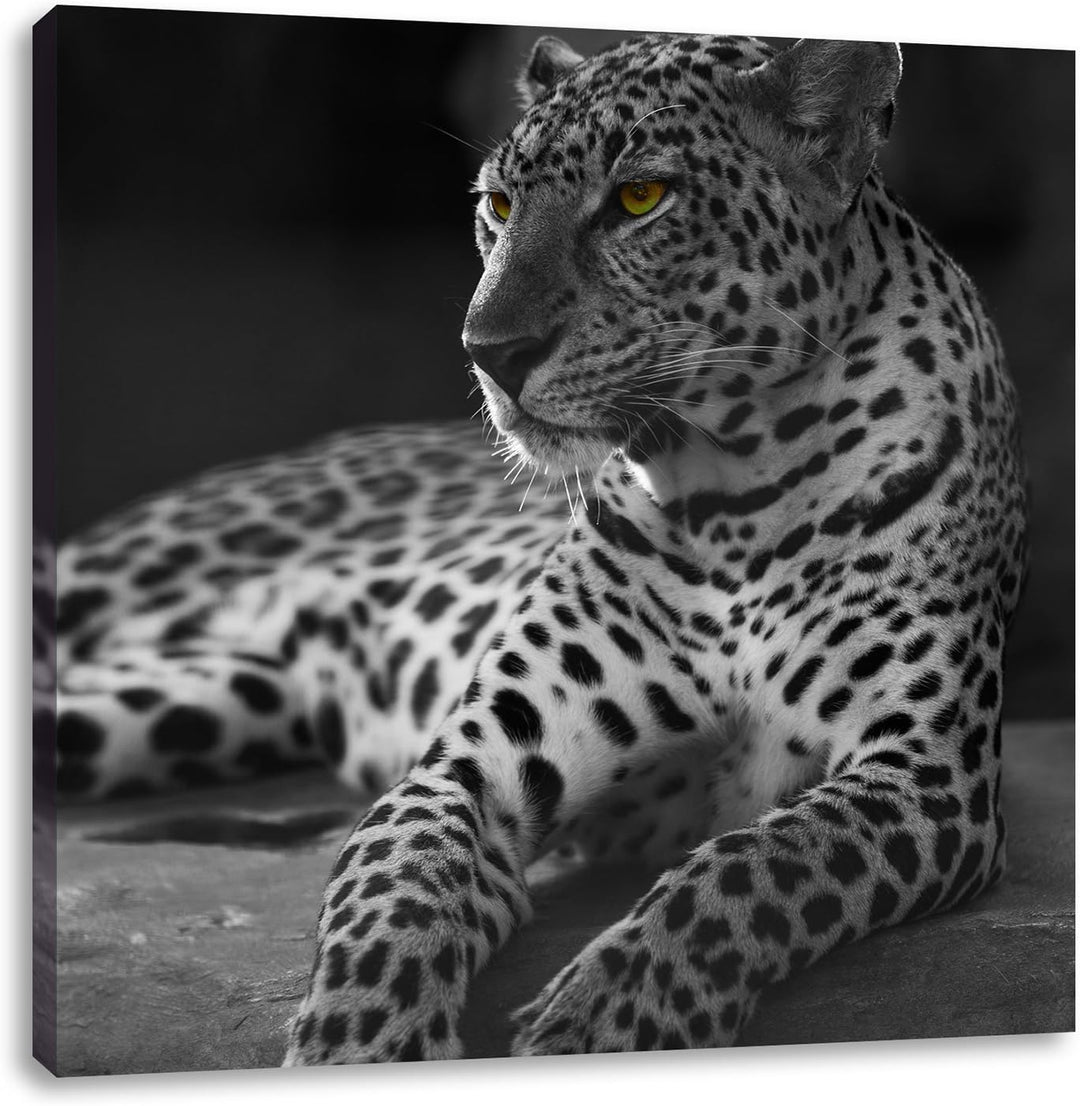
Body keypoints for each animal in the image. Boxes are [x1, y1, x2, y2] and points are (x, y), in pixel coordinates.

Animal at [41, 32, 1028, 1063]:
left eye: (640, 198)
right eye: (500, 206)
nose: (490, 351)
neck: (730, 493)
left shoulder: (925, 774)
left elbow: (752, 867)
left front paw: (605, 1024)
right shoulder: (469, 765)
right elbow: (397, 893)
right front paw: (363, 1048)